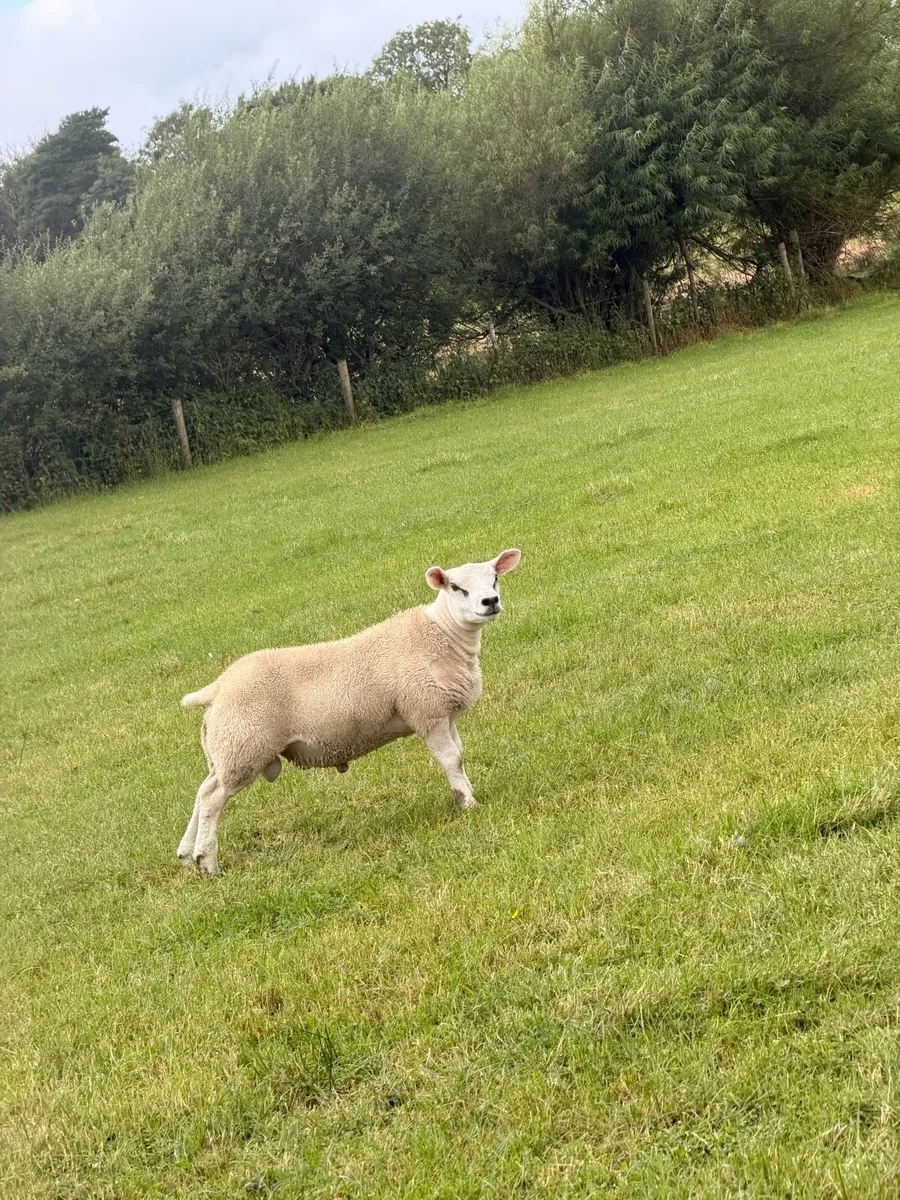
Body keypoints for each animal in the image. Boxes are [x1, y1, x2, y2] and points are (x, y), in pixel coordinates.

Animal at [178, 548, 521, 874]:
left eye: (494, 579)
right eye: (456, 587)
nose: (490, 602)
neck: (442, 634)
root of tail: (218, 687)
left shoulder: (445, 715)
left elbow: (459, 755)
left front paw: (466, 793)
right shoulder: (427, 712)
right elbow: (451, 760)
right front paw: (467, 803)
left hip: (228, 748)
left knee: (203, 790)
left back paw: (185, 854)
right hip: (245, 745)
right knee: (211, 798)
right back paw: (207, 861)